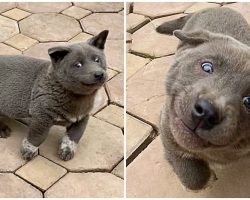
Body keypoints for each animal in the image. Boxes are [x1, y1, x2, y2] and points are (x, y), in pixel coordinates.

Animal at [0, 29, 109, 161]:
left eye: (97, 60)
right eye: (78, 64)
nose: (99, 74)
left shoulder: (82, 118)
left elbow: (73, 137)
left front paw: (67, 150)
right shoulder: (41, 118)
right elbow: (37, 137)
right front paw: (28, 150)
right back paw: (2, 130)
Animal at [157, 7, 250, 191]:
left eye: (249, 101)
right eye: (207, 67)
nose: (206, 112)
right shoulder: (167, 126)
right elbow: (192, 177)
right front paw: (205, 180)